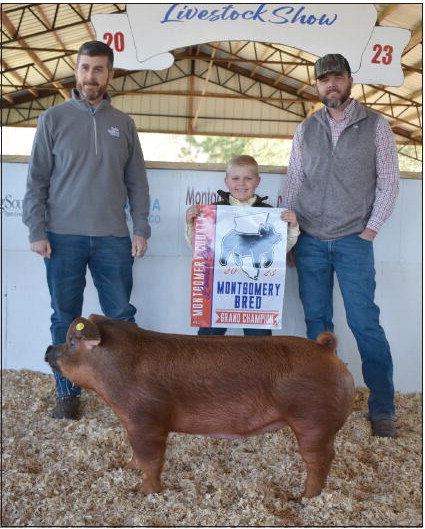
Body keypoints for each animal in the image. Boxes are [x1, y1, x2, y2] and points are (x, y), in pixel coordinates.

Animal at [44, 314, 352, 496]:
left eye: (72, 343)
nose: (48, 349)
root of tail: (327, 350)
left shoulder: (146, 419)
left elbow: (151, 459)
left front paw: (146, 493)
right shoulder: (133, 425)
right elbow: (136, 454)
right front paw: (127, 467)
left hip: (314, 421)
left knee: (320, 460)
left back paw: (305, 498)